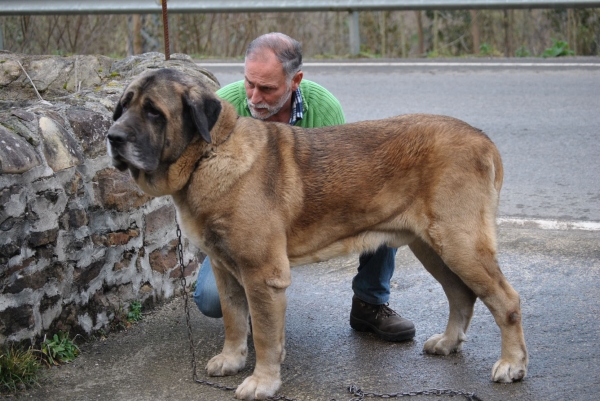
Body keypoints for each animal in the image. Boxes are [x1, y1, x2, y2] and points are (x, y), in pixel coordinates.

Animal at [106, 68, 524, 396]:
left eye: (153, 112)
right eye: (123, 107)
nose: (112, 137)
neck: (207, 155)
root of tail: (482, 138)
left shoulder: (262, 275)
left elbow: (265, 335)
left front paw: (262, 381)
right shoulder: (226, 270)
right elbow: (234, 320)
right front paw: (231, 359)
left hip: (459, 243)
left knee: (506, 300)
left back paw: (512, 364)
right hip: (432, 247)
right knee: (461, 294)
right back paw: (449, 342)